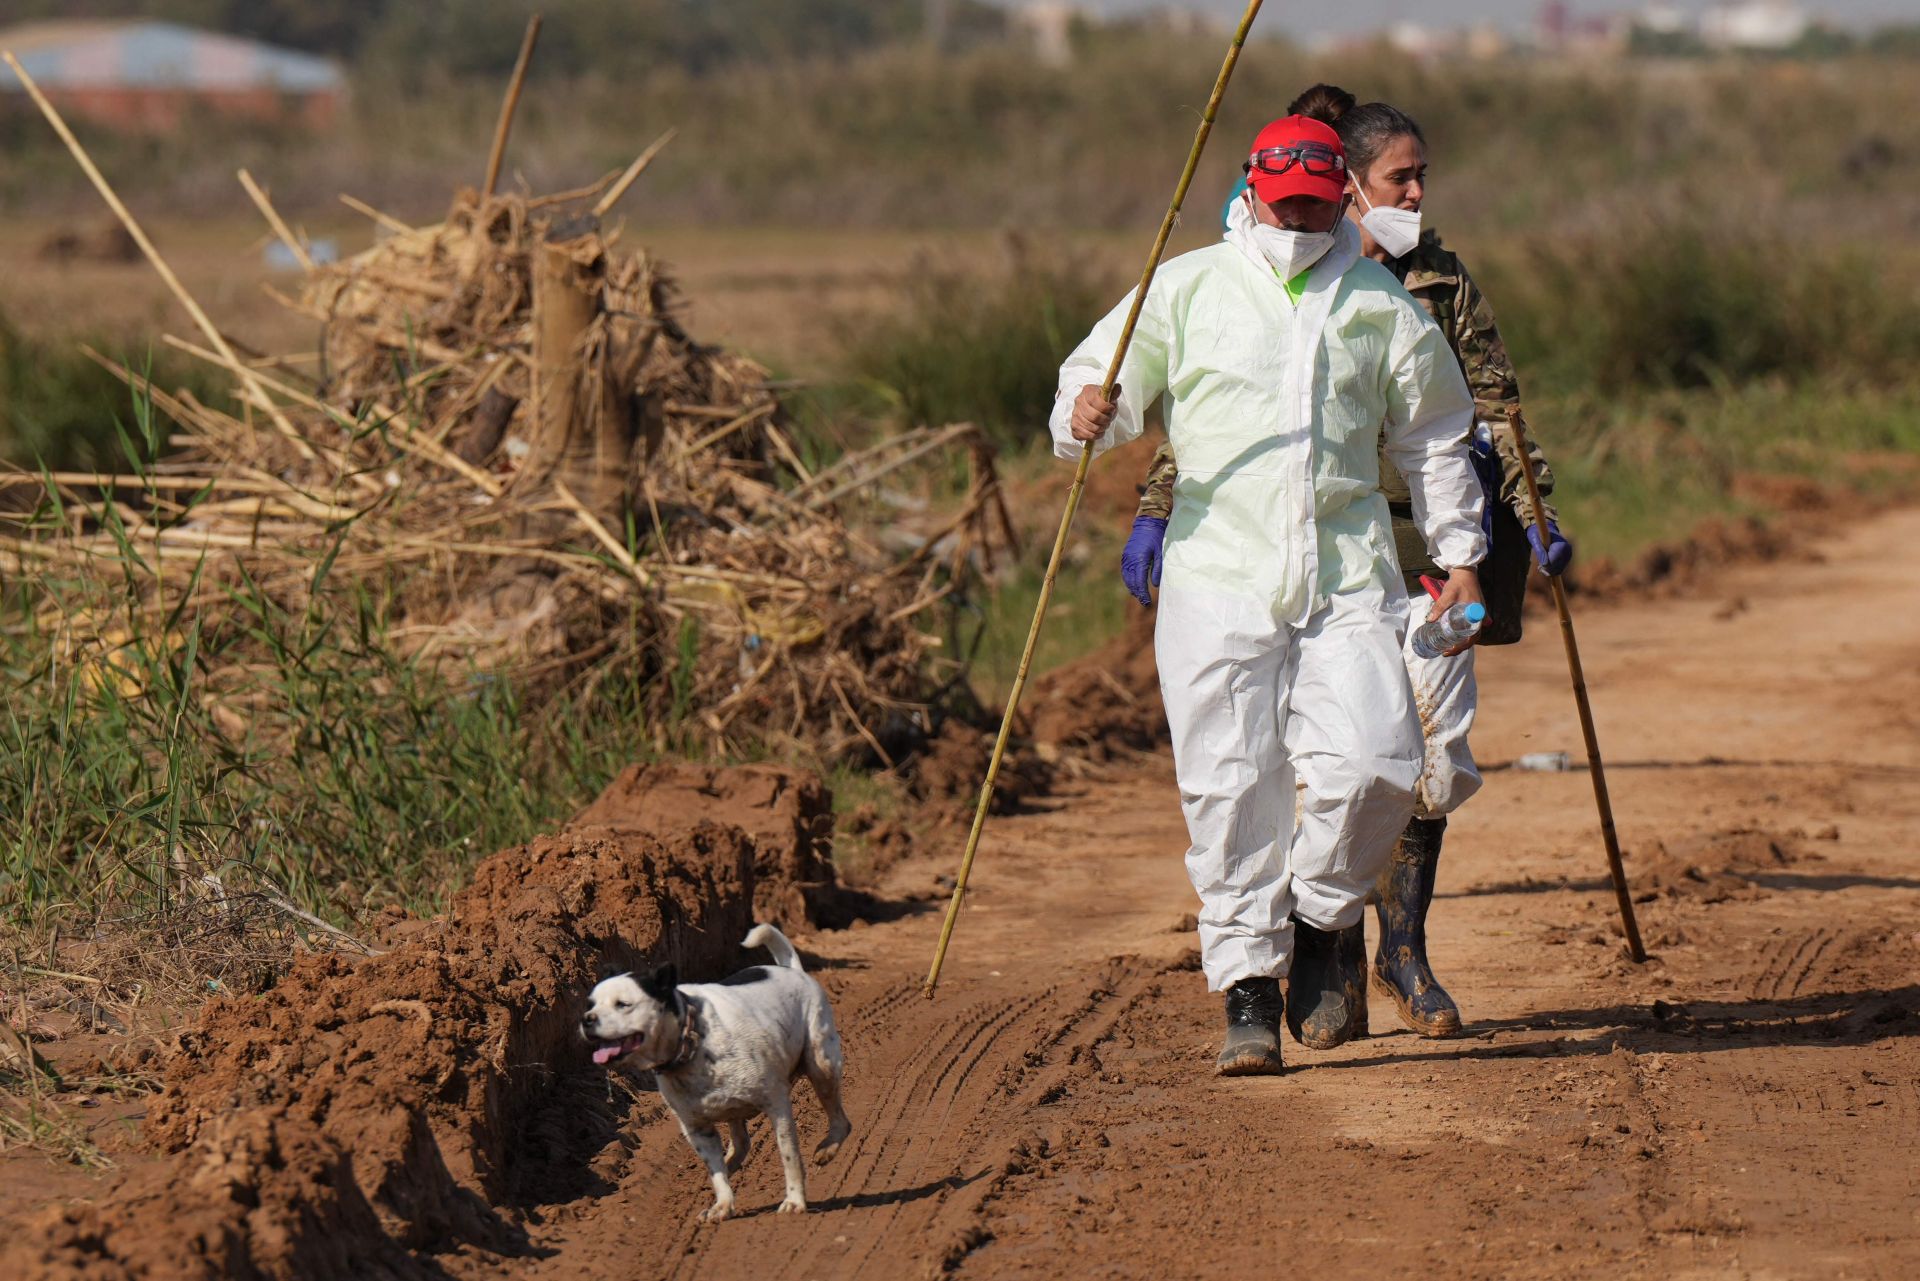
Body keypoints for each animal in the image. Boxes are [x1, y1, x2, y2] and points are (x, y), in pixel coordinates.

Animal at [579, 925, 852, 1221]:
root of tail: (792, 970)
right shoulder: (697, 1129)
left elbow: (789, 1155)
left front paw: (794, 1200)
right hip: (737, 1107)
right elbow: (716, 1171)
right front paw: (722, 1204)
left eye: (623, 1004)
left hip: (821, 1064)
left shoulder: (777, 1105)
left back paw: (828, 1148)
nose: (587, 1019)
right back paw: (731, 1163)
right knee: (740, 1143)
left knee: (840, 1120)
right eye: (591, 1004)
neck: (691, 1041)